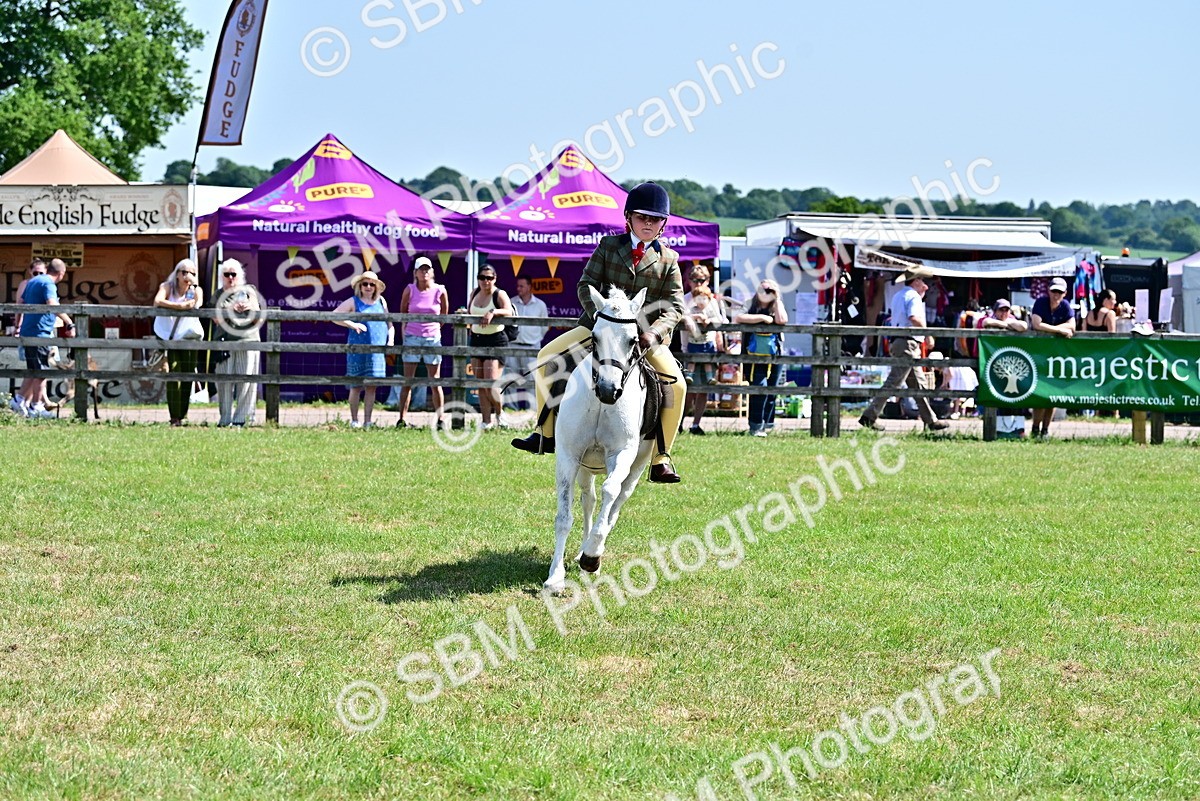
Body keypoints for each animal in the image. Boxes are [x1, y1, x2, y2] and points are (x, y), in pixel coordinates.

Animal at [544, 286, 658, 594]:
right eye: (595, 337)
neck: (600, 403)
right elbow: (563, 517)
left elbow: (611, 491)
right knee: (589, 500)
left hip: (638, 465)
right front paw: (555, 577)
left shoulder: (622, 453)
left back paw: (591, 553)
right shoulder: (569, 456)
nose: (609, 390)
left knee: (617, 502)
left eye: (633, 340)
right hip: (585, 466)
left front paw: (592, 556)